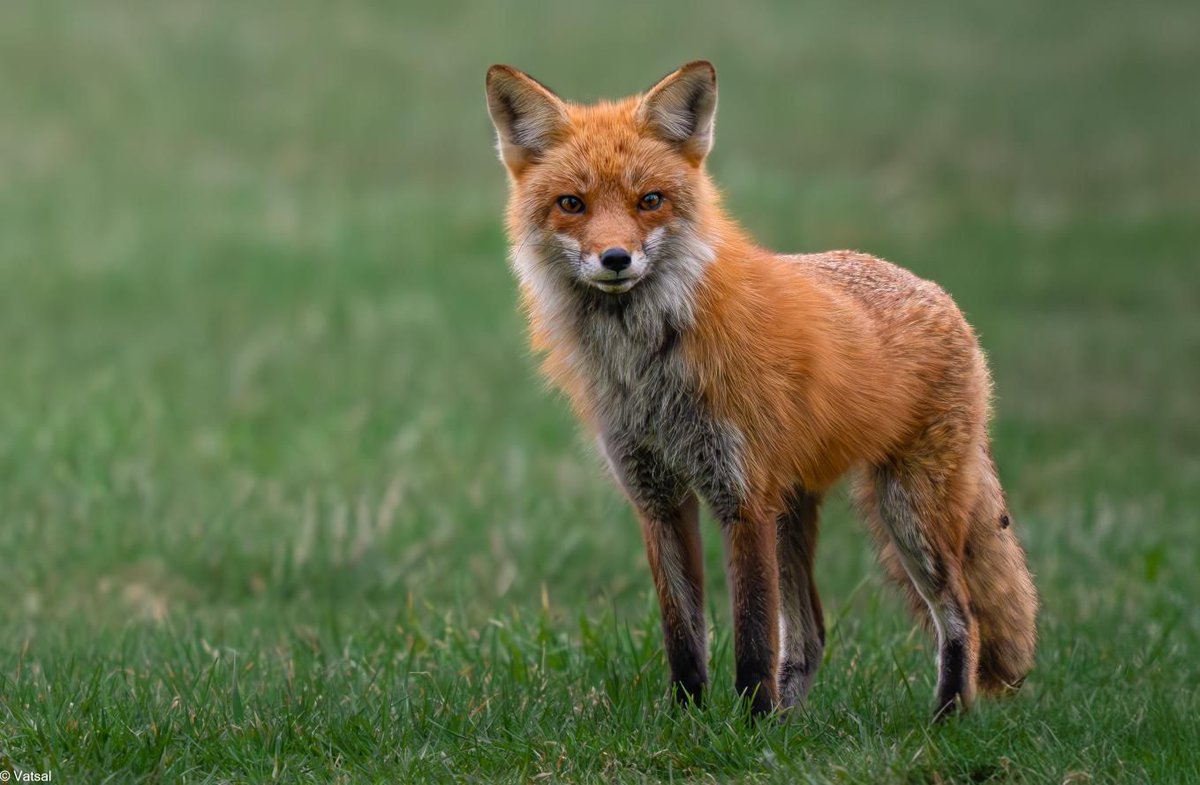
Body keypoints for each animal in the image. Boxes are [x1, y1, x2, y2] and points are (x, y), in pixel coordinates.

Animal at [484, 60, 1037, 719]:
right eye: (572, 204)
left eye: (650, 201)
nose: (615, 258)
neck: (650, 366)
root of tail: (933, 291)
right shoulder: (658, 498)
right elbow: (684, 633)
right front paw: (688, 720)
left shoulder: (741, 494)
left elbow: (750, 635)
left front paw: (746, 726)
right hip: (795, 509)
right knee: (813, 634)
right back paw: (790, 723)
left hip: (909, 513)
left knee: (961, 617)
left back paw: (941, 721)